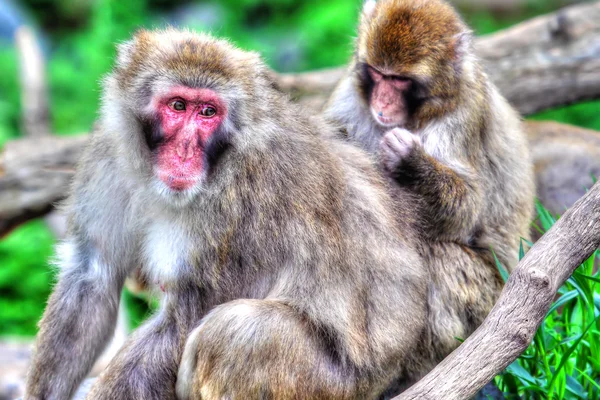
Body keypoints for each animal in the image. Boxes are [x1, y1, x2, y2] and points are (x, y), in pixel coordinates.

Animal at [24, 28, 426, 400]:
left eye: (208, 112)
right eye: (178, 106)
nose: (185, 150)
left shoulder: (238, 209)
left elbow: (181, 323)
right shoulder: (109, 151)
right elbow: (92, 277)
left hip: (333, 384)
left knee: (233, 331)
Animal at [326, 0, 536, 366]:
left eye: (399, 80)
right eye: (378, 74)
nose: (381, 102)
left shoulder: (465, 111)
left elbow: (465, 208)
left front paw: (410, 162)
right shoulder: (351, 95)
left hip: (486, 298)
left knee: (434, 257)